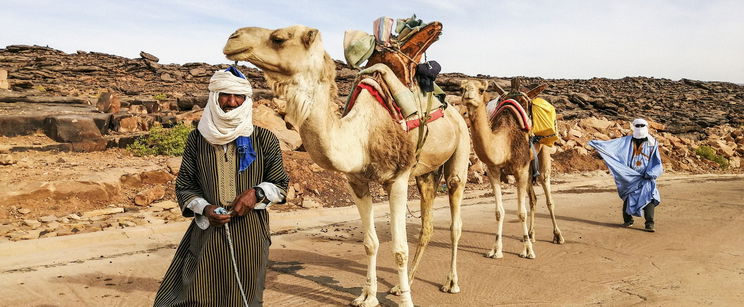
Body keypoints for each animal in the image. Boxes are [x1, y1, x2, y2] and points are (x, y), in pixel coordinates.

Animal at [222, 25, 470, 306]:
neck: (363, 133)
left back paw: (451, 283)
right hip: (425, 174)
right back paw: (401, 285)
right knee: (427, 226)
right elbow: (370, 243)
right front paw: (368, 296)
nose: (233, 38)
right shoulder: (356, 181)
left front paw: (406, 302)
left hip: (460, 149)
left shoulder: (397, 179)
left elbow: (399, 249)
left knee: (455, 220)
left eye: (279, 38)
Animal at [460, 77, 564, 260]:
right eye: (461, 88)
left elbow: (521, 212)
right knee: (533, 199)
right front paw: (496, 250)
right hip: (529, 168)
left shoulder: (520, 170)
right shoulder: (493, 171)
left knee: (548, 196)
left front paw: (528, 251)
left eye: (481, 89)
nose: (468, 95)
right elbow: (499, 212)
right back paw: (531, 234)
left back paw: (557, 236)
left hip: (543, 154)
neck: (505, 143)